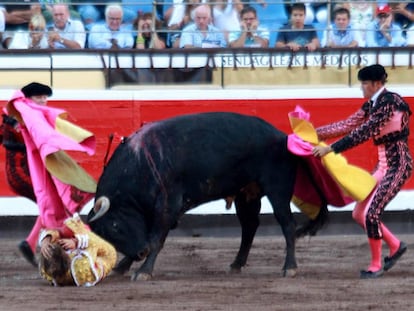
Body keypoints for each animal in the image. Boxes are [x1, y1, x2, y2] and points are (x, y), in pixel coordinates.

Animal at [88, 111, 320, 280]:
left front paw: (143, 271)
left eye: (115, 225)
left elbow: (156, 238)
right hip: (247, 194)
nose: (140, 253)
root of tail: (282, 136)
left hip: (277, 189)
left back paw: (290, 268)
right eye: (106, 235)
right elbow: (150, 236)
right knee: (249, 227)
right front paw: (122, 266)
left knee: (287, 224)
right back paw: (236, 264)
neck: (140, 163)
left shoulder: (167, 204)